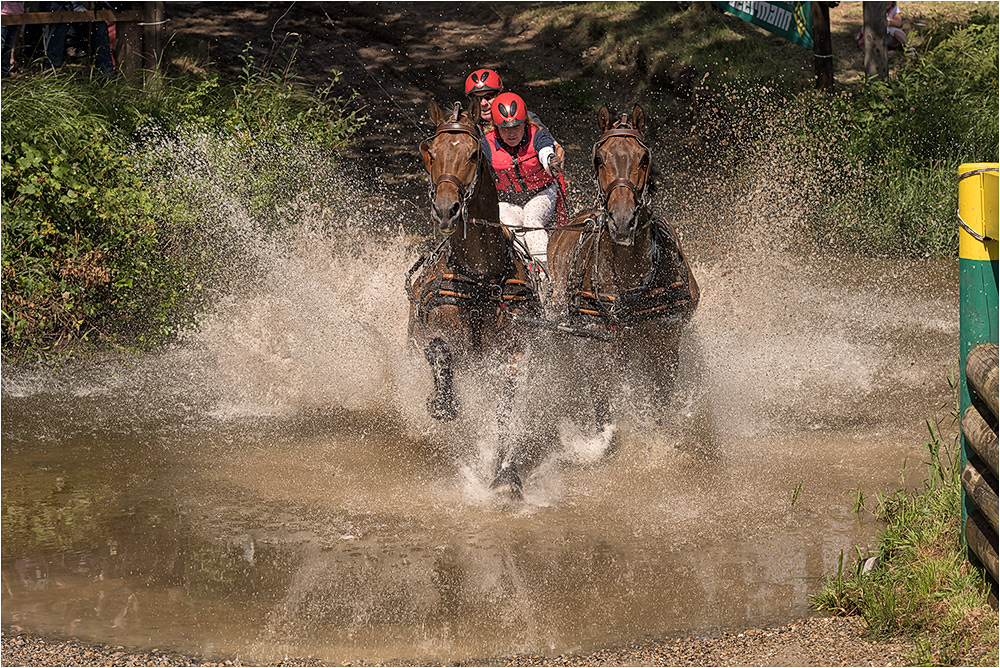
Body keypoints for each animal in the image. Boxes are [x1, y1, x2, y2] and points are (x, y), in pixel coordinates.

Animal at [406, 98, 544, 496]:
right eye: (430, 152)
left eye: (472, 154)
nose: (446, 210)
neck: (482, 277)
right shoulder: (433, 331)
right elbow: (439, 352)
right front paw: (442, 402)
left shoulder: (515, 352)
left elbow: (507, 408)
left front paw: (505, 475)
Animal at [544, 102, 700, 430]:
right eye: (599, 158)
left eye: (644, 158)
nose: (623, 220)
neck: (630, 277)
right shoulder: (599, 345)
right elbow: (602, 406)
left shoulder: (665, 343)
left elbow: (660, 405)